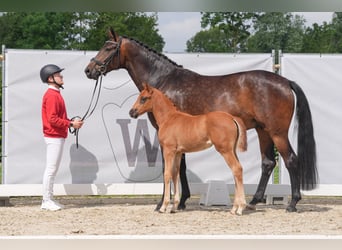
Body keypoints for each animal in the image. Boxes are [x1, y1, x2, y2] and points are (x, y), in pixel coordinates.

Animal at [128, 83, 246, 215]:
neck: (169, 118)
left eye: (143, 98)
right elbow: (175, 174)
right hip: (232, 150)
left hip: (225, 151)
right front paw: (174, 207)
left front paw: (163, 207)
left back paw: (240, 208)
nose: (131, 112)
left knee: (236, 169)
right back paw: (234, 208)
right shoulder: (178, 153)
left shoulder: (168, 151)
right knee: (237, 172)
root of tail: (232, 118)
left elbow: (167, 174)